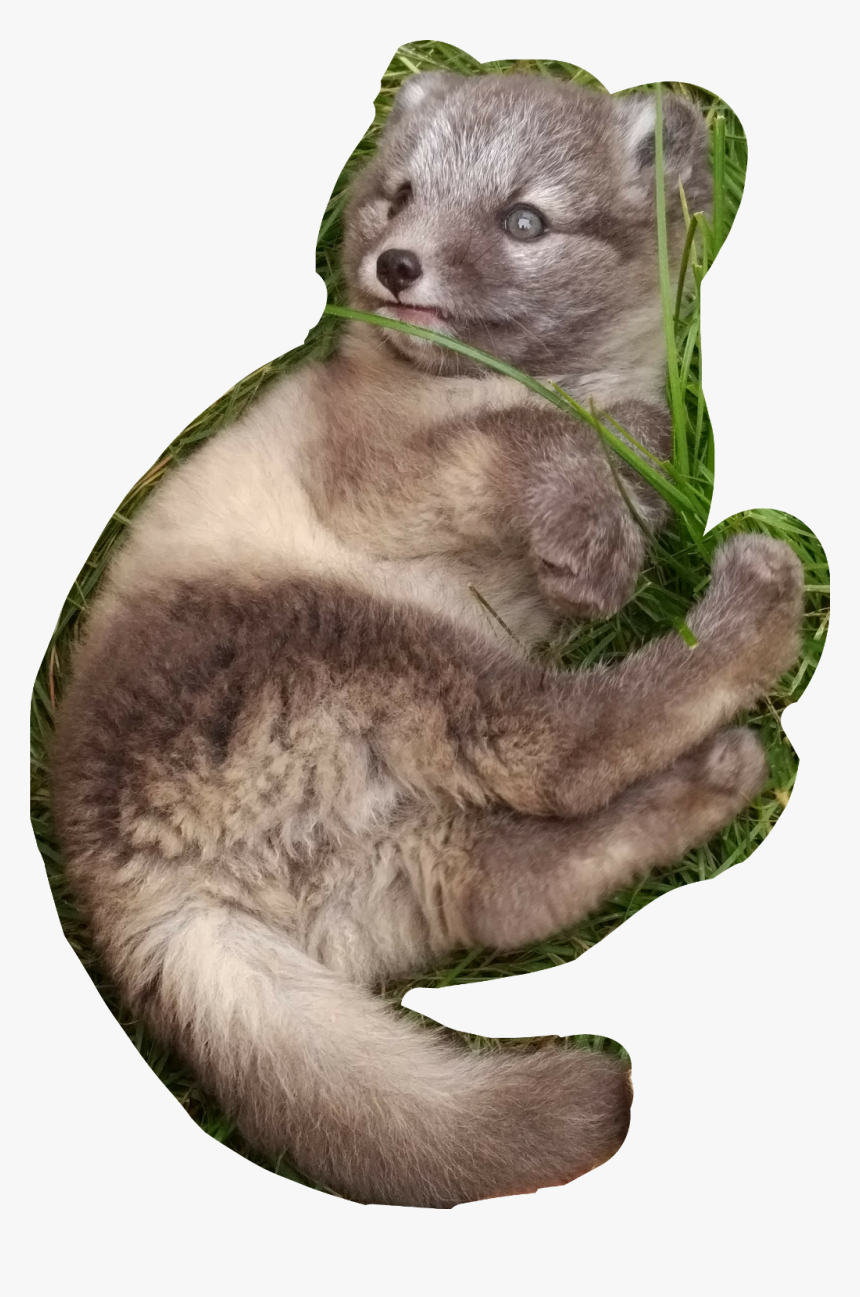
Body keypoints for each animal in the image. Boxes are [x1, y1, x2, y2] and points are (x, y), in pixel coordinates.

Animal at [51, 70, 804, 1207]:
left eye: (524, 218)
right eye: (399, 193)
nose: (394, 264)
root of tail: (134, 890)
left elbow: (619, 439)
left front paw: (606, 519)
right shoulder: (375, 476)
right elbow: (528, 437)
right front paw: (590, 535)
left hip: (397, 859)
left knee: (512, 887)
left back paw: (712, 776)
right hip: (380, 648)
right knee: (561, 749)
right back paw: (757, 603)